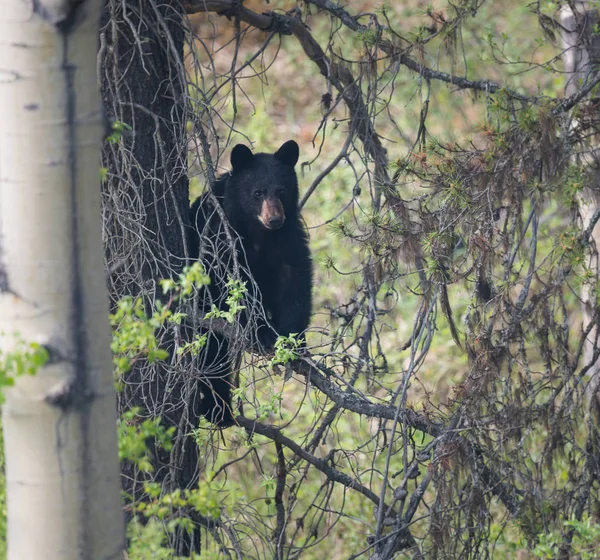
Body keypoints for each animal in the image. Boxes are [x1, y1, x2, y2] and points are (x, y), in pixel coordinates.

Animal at [190, 141, 314, 428]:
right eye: (257, 193)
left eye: (282, 191)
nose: (274, 219)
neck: (259, 233)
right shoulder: (221, 237)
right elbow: (235, 285)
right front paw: (263, 333)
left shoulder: (288, 237)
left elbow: (295, 278)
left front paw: (293, 339)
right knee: (212, 351)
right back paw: (218, 409)